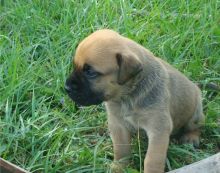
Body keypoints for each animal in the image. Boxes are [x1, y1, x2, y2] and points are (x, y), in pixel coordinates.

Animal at [65, 29, 205, 172]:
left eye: (90, 72)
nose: (67, 88)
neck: (127, 96)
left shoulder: (158, 129)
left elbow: (152, 159)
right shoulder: (118, 125)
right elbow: (121, 150)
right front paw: (119, 167)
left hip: (196, 114)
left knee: (195, 127)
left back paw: (191, 138)